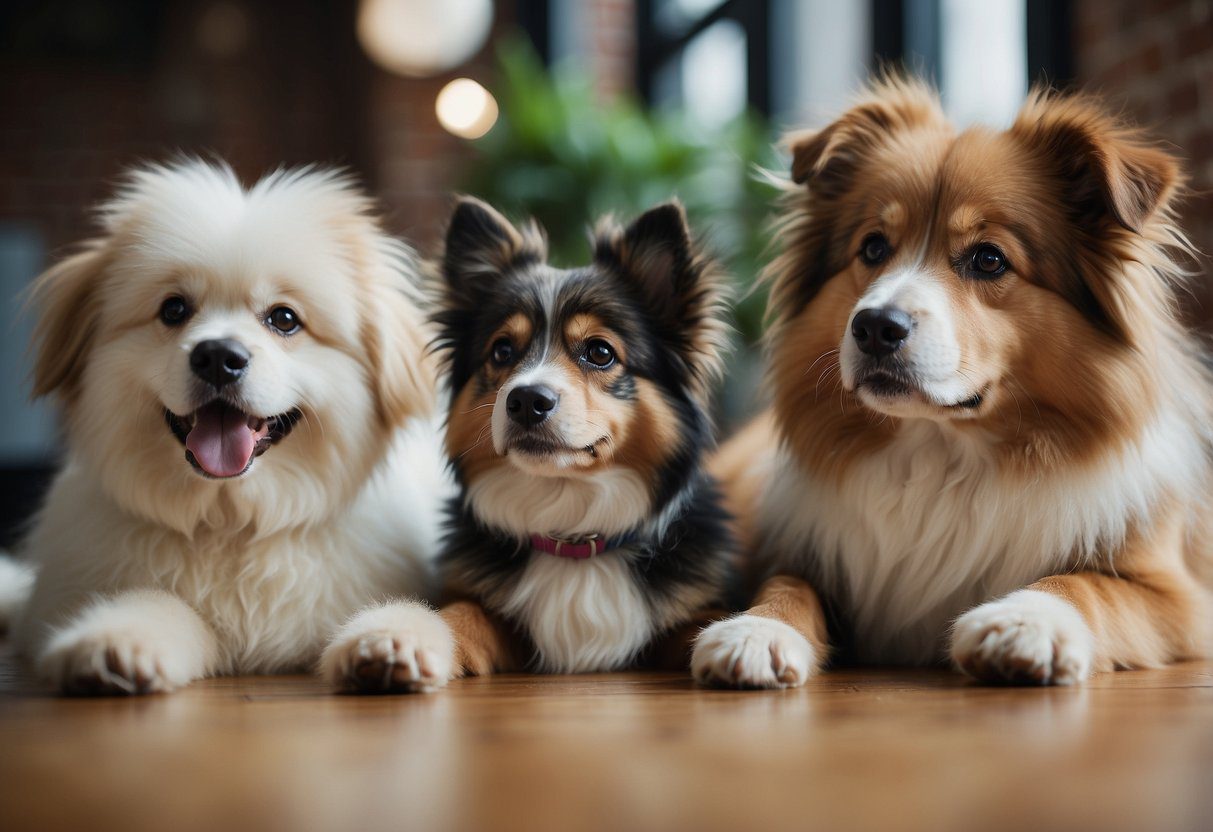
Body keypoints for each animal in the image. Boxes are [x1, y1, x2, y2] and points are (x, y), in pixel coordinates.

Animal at [4, 162, 451, 698]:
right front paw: (113, 647)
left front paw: (388, 644)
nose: (218, 356)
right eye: (174, 309)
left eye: (284, 318)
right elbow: (160, 607)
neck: (232, 522)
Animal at [693, 78, 1213, 688]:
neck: (943, 450)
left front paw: (1023, 621)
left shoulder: (1179, 596)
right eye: (873, 247)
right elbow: (788, 586)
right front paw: (756, 630)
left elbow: (1083, 584)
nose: (874, 327)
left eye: (989, 259)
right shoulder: (804, 554)